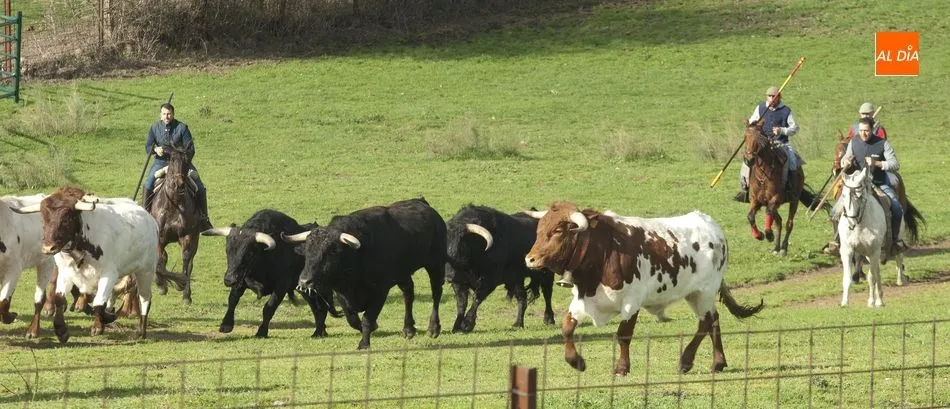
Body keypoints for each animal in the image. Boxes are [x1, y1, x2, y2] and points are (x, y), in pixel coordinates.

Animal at [742, 119, 818, 256]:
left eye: (759, 138)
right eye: (746, 137)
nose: (749, 160)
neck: (764, 172)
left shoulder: (775, 199)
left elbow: (769, 213)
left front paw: (768, 234)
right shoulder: (756, 200)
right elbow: (750, 216)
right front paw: (759, 235)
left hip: (794, 201)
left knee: (788, 223)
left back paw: (783, 248)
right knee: (779, 221)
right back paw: (776, 247)